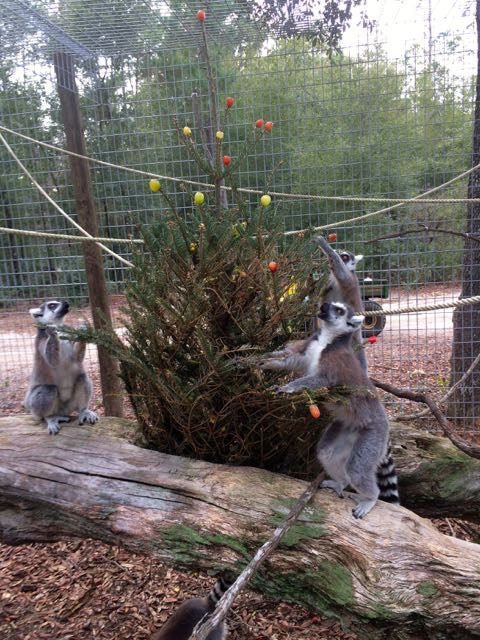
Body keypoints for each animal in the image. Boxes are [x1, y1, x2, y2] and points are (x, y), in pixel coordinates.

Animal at [24, 299, 98, 435]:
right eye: (52, 305)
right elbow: (52, 361)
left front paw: (83, 329)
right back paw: (50, 417)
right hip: (35, 406)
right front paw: (52, 333)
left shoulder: (69, 337)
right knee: (47, 390)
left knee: (82, 378)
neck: (60, 330)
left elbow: (76, 358)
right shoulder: (41, 340)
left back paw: (84, 410)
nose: (66, 303)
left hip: (70, 405)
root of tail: (63, 410)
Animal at [274, 301, 399, 518]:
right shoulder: (309, 346)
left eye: (339, 310)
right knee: (327, 452)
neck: (327, 339)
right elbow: (285, 358)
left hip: (373, 434)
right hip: (345, 427)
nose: (323, 305)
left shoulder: (334, 362)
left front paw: (288, 387)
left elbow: (320, 379)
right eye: (330, 305)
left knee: (357, 469)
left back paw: (370, 498)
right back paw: (340, 483)